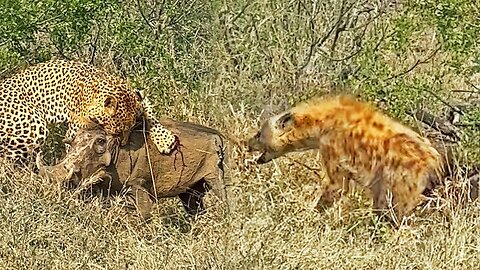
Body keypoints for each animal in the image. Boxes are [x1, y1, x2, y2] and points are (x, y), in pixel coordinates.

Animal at [0, 60, 176, 163]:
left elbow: (150, 114)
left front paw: (165, 140)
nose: (124, 144)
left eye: (131, 129)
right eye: (117, 132)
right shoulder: (75, 131)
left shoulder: (138, 97)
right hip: (34, 128)